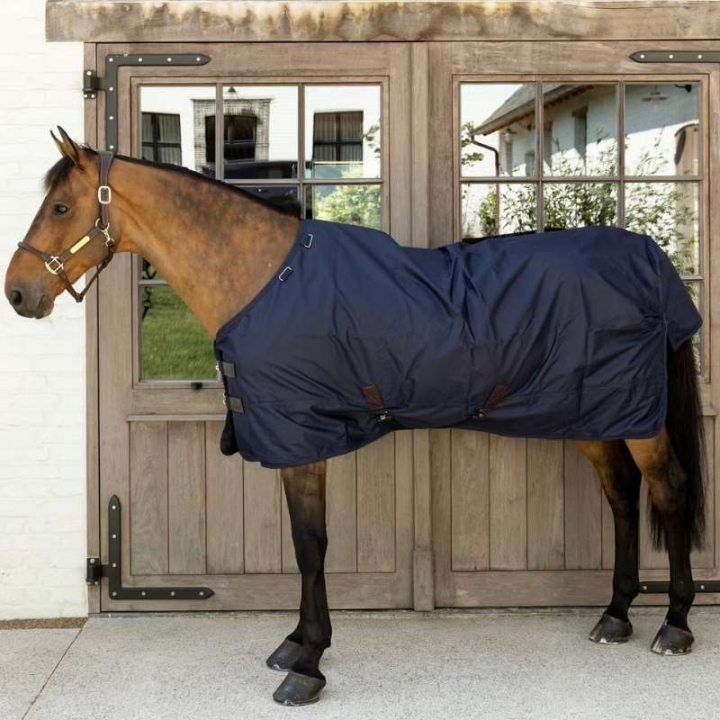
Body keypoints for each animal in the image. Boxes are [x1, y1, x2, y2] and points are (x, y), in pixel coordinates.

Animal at [4, 128, 706, 706]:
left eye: (61, 207)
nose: (18, 292)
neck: (267, 279)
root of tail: (652, 261)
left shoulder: (303, 442)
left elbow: (311, 545)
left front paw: (307, 665)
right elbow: (302, 544)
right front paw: (294, 643)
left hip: (636, 419)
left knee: (669, 492)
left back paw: (673, 626)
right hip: (595, 415)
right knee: (621, 496)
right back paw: (614, 616)